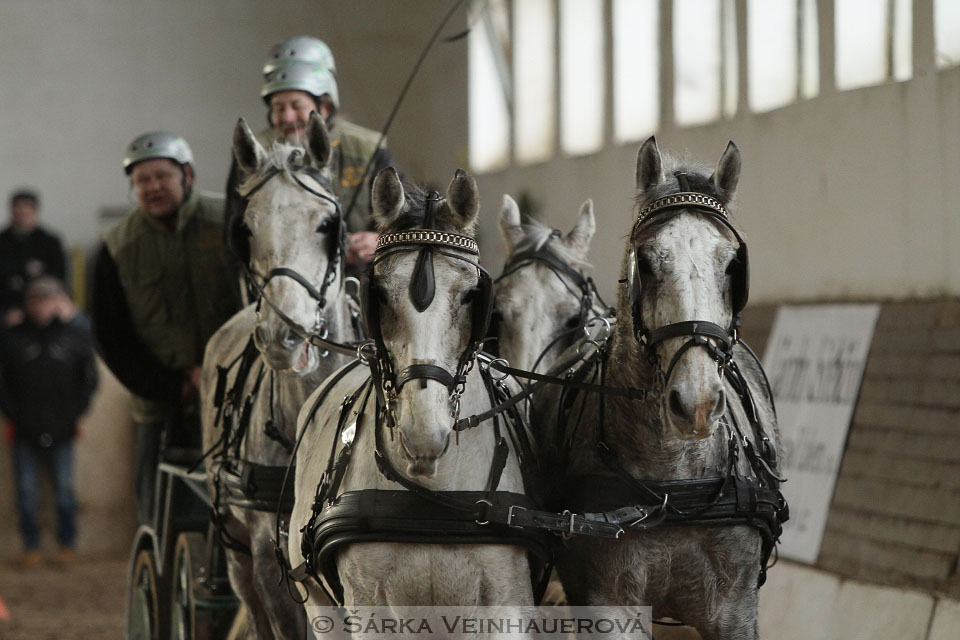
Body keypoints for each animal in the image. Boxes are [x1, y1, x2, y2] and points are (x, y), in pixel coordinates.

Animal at [532, 138, 788, 636]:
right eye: (646, 263)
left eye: (733, 265)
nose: (697, 404)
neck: (673, 484)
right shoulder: (607, 606)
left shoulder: (734, 611)